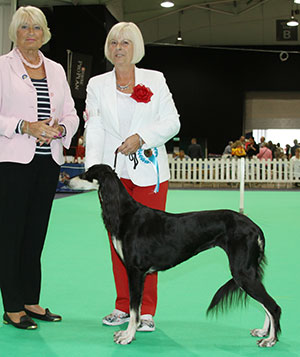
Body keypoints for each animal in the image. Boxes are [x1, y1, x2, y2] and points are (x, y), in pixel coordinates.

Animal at [70, 165, 282, 346]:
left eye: (87, 173)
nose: (67, 180)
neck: (125, 213)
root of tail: (255, 227)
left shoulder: (136, 271)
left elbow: (134, 309)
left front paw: (128, 336)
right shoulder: (137, 272)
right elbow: (134, 308)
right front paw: (127, 333)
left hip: (242, 273)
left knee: (273, 306)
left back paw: (270, 340)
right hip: (248, 272)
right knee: (266, 304)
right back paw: (263, 332)